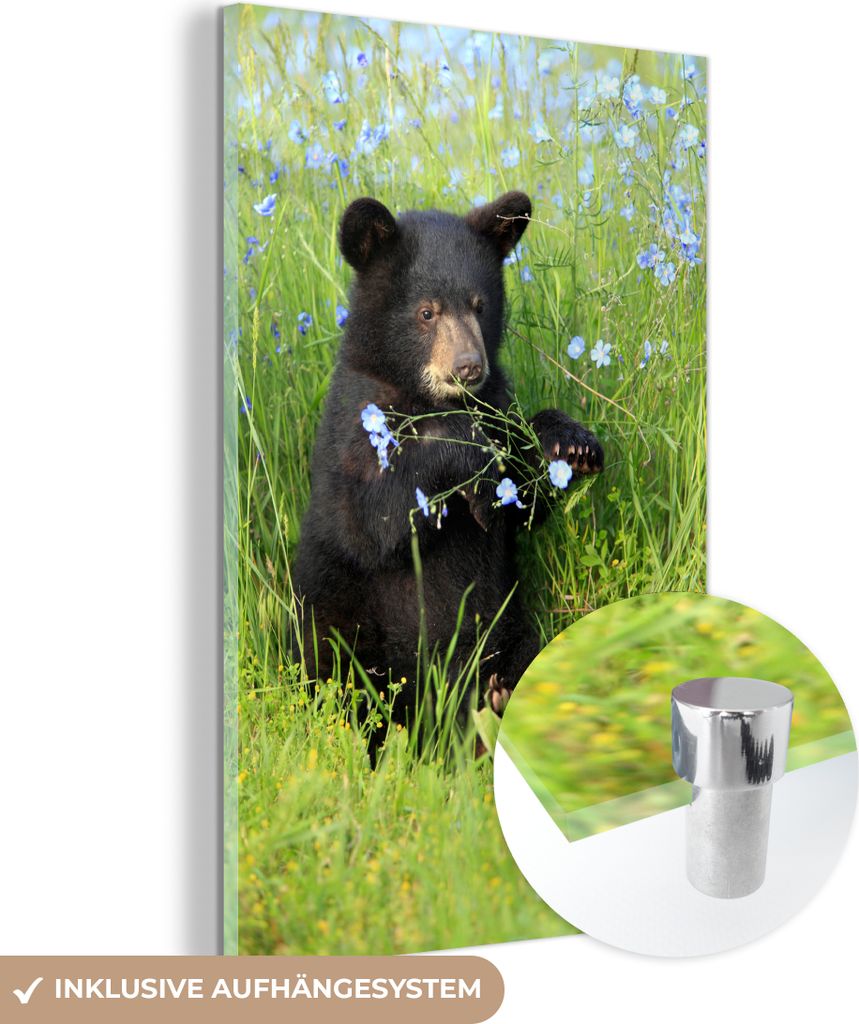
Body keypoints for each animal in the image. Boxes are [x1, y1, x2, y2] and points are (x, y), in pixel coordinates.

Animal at [293, 191, 603, 737]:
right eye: (426, 312)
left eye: (480, 305)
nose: (468, 367)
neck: (427, 398)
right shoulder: (353, 425)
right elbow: (372, 519)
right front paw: (472, 465)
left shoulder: (496, 401)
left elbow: (523, 507)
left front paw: (569, 443)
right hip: (338, 619)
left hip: (508, 627)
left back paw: (500, 696)